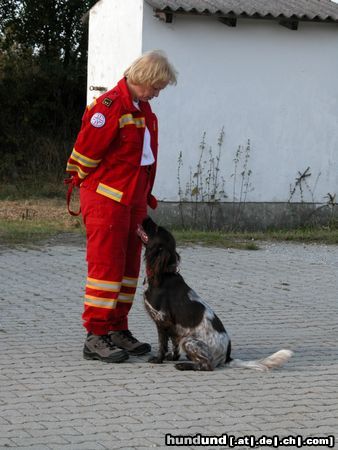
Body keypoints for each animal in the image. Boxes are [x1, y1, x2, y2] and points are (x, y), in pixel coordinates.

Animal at [136, 216, 292, 370]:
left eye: (157, 229)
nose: (146, 217)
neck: (164, 274)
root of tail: (227, 357)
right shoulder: (174, 327)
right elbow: (174, 344)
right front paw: (172, 357)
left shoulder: (162, 319)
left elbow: (162, 344)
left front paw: (158, 359)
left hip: (189, 341)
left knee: (206, 365)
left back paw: (184, 365)